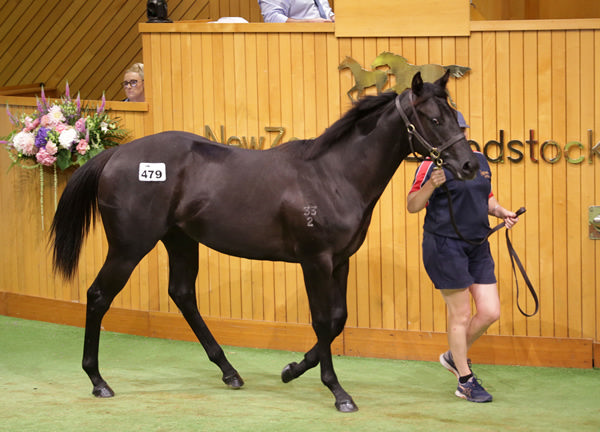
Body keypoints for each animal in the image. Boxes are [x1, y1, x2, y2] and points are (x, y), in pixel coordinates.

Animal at [50, 71, 478, 412]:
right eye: (435, 119)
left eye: (455, 115)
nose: (469, 165)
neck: (334, 174)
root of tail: (116, 155)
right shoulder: (315, 260)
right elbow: (323, 320)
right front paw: (338, 392)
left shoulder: (340, 260)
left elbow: (338, 320)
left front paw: (291, 370)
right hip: (129, 247)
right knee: (98, 296)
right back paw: (98, 381)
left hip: (180, 240)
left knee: (183, 294)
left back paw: (230, 372)